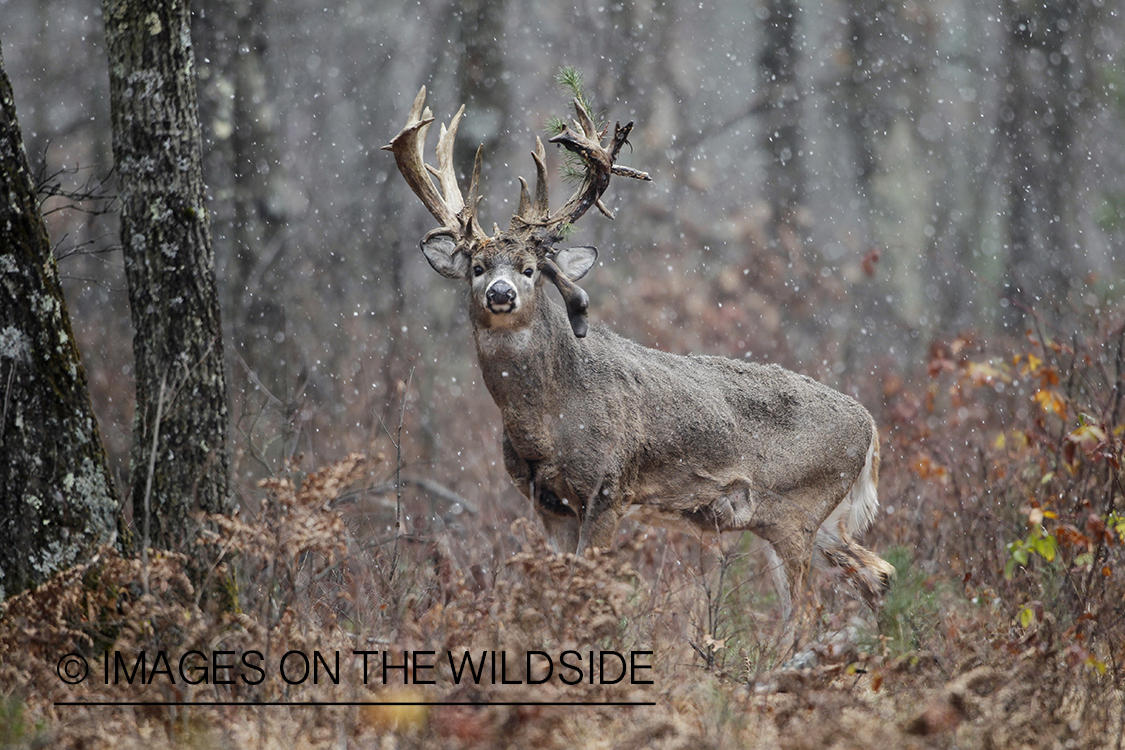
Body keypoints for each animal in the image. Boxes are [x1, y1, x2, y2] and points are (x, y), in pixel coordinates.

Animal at [387, 86, 895, 647]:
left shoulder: (609, 487)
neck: (545, 424)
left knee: (805, 614)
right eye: (476, 268)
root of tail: (871, 428)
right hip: (816, 521)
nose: (501, 293)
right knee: (879, 573)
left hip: (797, 512)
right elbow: (557, 588)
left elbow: (586, 590)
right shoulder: (546, 502)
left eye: (530, 269)